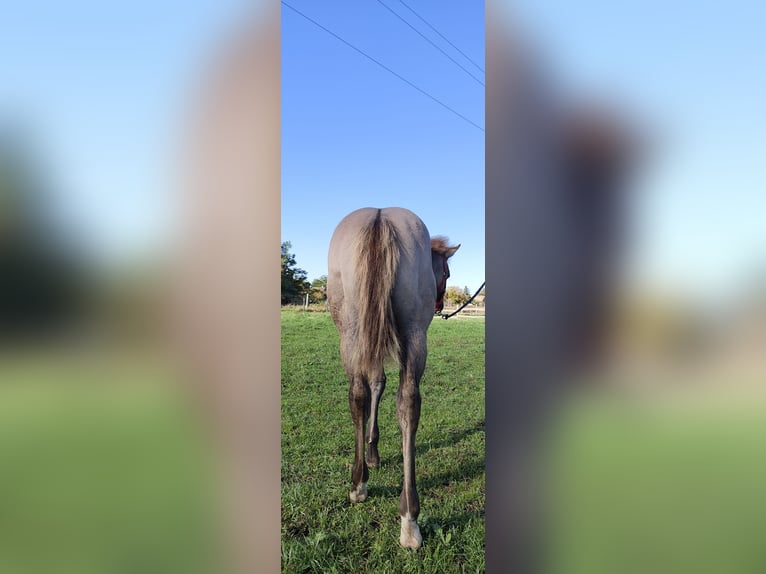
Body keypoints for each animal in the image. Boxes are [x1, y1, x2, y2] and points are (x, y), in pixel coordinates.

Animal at [328, 209, 460, 552]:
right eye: (446, 272)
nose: (441, 304)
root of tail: (379, 217)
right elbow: (380, 384)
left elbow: (375, 384)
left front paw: (372, 453)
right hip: (412, 333)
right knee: (406, 402)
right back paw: (407, 516)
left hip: (353, 331)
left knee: (362, 395)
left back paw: (363, 487)